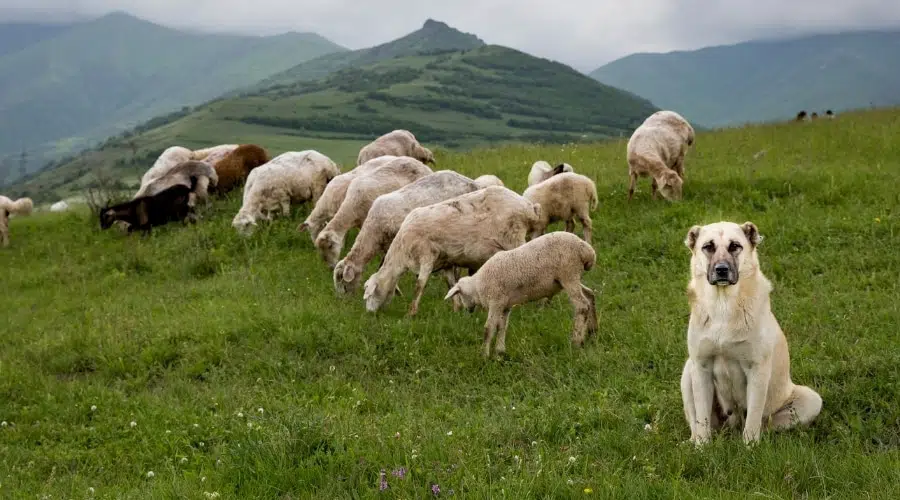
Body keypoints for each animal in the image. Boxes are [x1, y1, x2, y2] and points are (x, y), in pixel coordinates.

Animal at [358, 186, 540, 318]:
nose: (369, 314)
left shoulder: (427, 256)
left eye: (369, 293)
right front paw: (457, 309)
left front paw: (411, 313)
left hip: (514, 238)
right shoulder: (445, 262)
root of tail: (529, 207)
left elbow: (420, 285)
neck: (401, 252)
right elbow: (451, 284)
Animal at [442, 232, 596, 358]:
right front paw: (499, 353)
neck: (478, 286)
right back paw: (592, 332)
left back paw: (576, 341)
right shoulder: (505, 306)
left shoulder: (496, 301)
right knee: (590, 295)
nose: (468, 310)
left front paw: (484, 355)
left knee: (582, 305)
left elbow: (489, 328)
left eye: (461, 295)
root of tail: (587, 250)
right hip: (568, 279)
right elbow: (501, 326)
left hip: (568, 273)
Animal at [684, 221, 824, 444]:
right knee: (697, 423)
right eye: (708, 247)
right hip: (688, 370)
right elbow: (702, 418)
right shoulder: (701, 366)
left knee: (764, 424)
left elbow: (753, 417)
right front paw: (702, 447)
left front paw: (750, 447)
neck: (723, 304)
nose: (721, 270)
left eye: (735, 246)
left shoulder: (758, 369)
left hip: (810, 400)